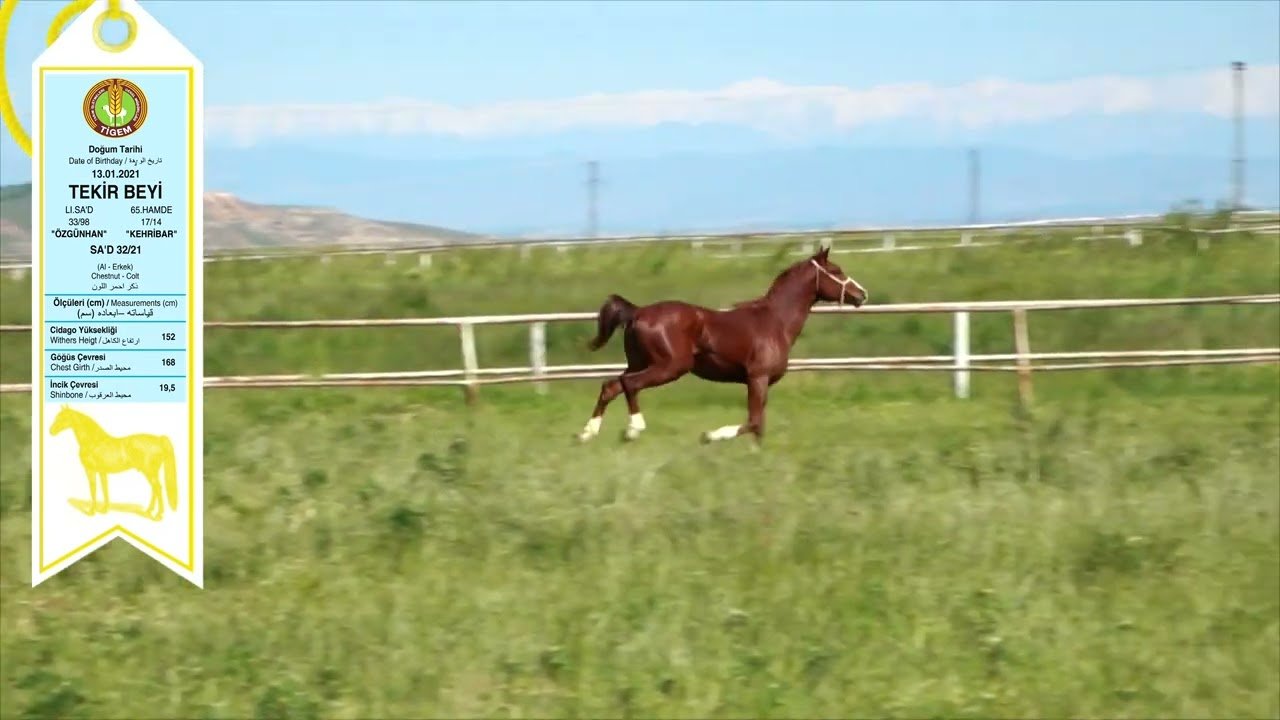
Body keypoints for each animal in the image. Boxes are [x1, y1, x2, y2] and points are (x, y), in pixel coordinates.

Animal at [581, 245, 870, 443]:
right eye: (836, 271)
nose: (862, 295)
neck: (775, 321)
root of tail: (637, 312)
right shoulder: (757, 378)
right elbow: (753, 422)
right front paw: (709, 436)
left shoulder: (762, 383)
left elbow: (759, 427)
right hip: (670, 367)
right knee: (629, 384)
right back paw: (633, 429)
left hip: (640, 362)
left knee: (611, 385)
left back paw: (587, 433)